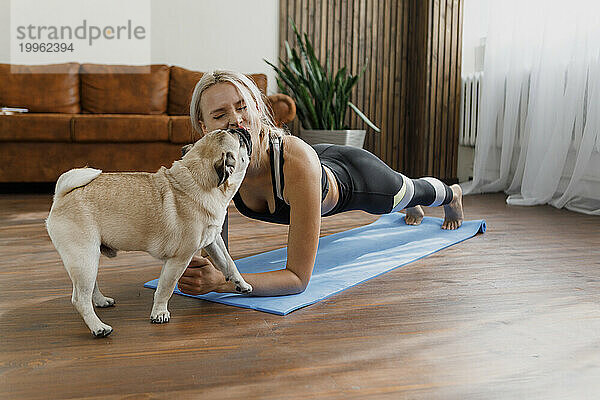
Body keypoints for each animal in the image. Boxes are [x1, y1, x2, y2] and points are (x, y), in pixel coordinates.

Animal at [46, 127, 253, 338]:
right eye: (241, 141)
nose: (241, 129)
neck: (198, 181)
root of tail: (63, 195)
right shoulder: (179, 259)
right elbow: (165, 288)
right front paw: (159, 313)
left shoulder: (213, 240)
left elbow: (228, 263)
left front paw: (241, 284)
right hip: (84, 257)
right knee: (80, 298)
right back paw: (99, 327)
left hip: (89, 258)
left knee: (88, 289)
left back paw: (101, 301)